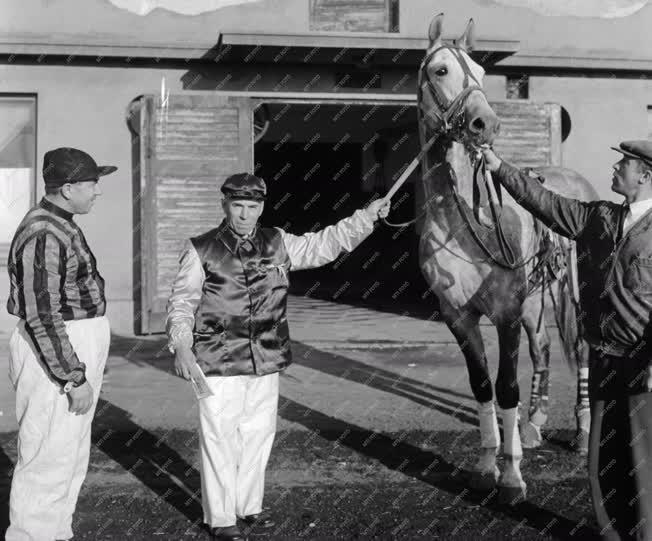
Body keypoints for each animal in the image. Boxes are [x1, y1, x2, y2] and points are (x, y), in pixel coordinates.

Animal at [418, 12, 600, 502]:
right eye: (441, 70)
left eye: (482, 73)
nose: (487, 124)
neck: (465, 222)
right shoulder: (457, 315)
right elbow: (483, 387)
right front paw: (486, 465)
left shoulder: (506, 313)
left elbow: (507, 388)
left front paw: (513, 474)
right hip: (537, 298)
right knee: (542, 348)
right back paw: (535, 424)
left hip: (570, 294)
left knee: (579, 347)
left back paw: (581, 431)